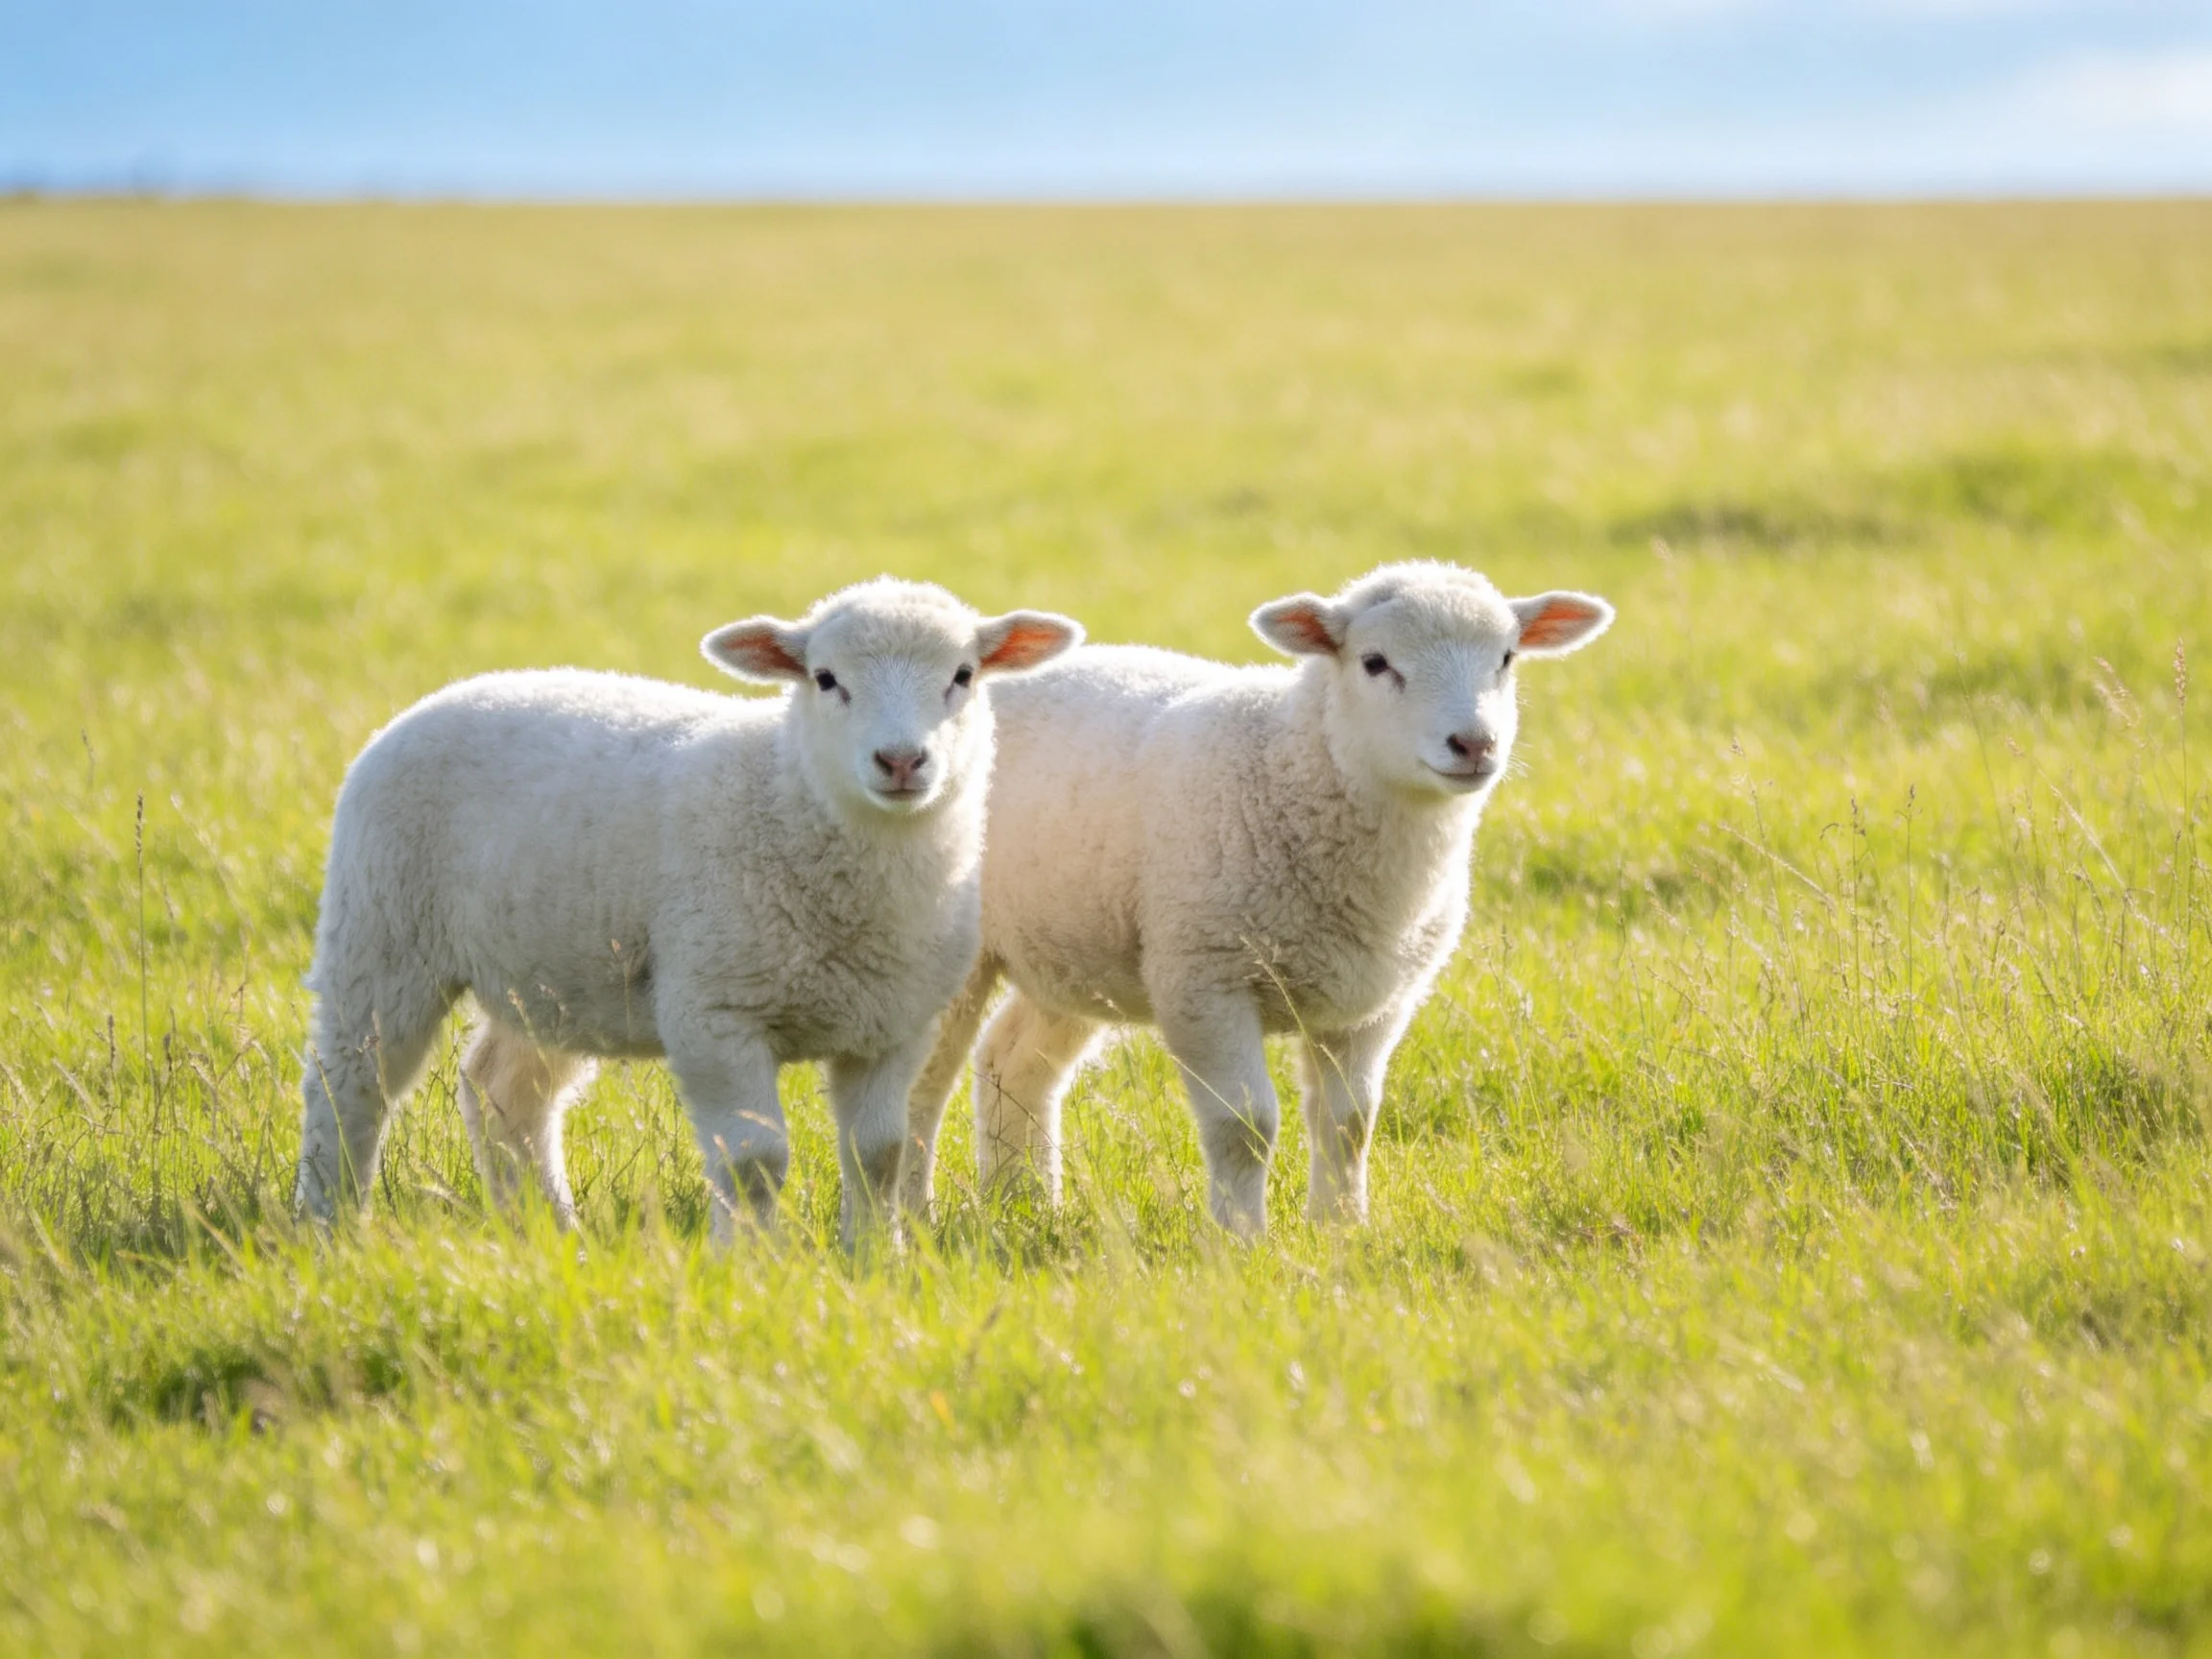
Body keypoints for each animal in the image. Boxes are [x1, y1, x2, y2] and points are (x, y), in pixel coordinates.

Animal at [293, 578, 1082, 1249]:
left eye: (964, 675)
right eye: (826, 679)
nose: (900, 761)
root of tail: (456, 692)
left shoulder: (895, 1024)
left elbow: (878, 1155)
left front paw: (872, 1261)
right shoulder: (714, 1012)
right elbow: (755, 1159)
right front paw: (751, 1265)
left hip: (553, 974)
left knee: (505, 1089)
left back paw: (547, 1227)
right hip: (381, 936)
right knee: (349, 1085)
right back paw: (330, 1225)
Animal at [902, 561, 1612, 1237]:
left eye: (1507, 657)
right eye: (1375, 662)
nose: (1473, 745)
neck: (1293, 763)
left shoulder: (1374, 1002)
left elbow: (1350, 1122)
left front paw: (1340, 1229)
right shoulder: (1205, 979)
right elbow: (1244, 1126)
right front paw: (1241, 1238)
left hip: (1076, 946)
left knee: (1014, 1061)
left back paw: (1023, 1204)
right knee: (923, 1081)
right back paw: (914, 1213)